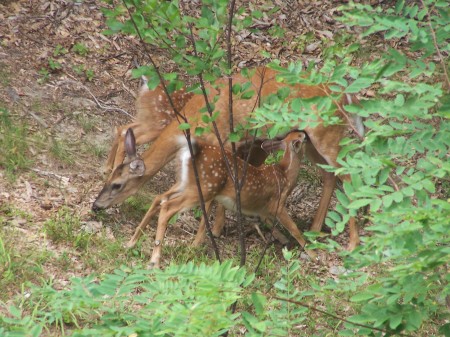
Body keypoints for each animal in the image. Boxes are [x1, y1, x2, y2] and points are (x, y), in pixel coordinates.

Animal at [93, 66, 364, 249]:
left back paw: (352, 242)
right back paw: (315, 231)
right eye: (108, 182)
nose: (96, 206)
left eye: (118, 185)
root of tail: (346, 96)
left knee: (349, 175)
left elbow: (215, 197)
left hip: (327, 134)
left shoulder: (222, 142)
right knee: (330, 176)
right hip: (310, 140)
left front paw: (210, 234)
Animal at [121, 127, 314, 266]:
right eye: (300, 137)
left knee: (160, 198)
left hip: (187, 184)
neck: (286, 175)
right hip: (203, 188)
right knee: (168, 207)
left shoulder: (262, 209)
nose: (305, 133)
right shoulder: (277, 204)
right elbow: (294, 228)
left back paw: (131, 243)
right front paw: (312, 253)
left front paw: (284, 241)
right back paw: (154, 260)